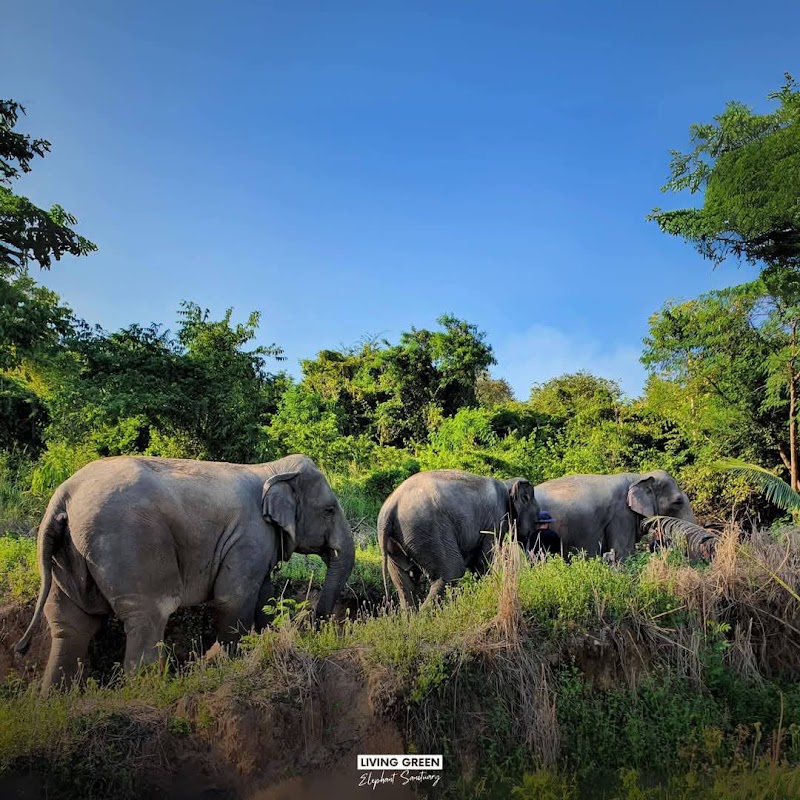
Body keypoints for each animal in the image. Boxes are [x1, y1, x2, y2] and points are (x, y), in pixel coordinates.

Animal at [15, 454, 355, 691]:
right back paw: (147, 690)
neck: (271, 469)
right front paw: (224, 663)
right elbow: (233, 597)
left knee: (69, 623)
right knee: (149, 614)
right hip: (129, 544)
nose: (317, 622)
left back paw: (55, 700)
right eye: (329, 510)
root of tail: (65, 494)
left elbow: (264, 594)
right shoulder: (249, 534)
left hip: (66, 555)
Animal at [378, 470, 540, 608]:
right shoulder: (494, 521)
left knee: (404, 584)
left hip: (398, 543)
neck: (507, 484)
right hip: (428, 531)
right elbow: (483, 561)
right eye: (536, 517)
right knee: (451, 572)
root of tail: (391, 507)